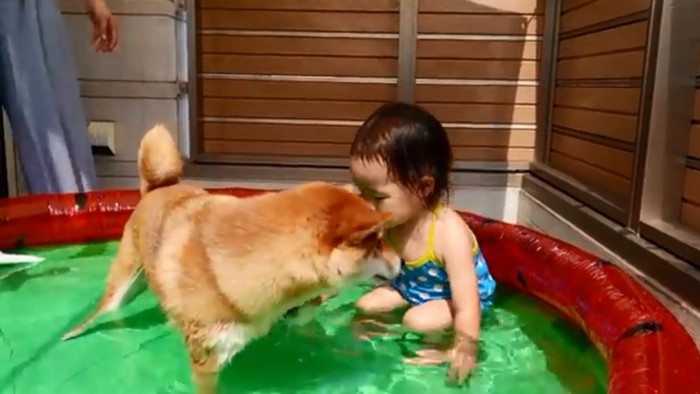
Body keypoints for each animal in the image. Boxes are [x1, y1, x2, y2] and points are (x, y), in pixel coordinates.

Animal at [61, 124, 400, 392]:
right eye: (378, 243)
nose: (400, 261)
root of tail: (156, 190)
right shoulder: (206, 362)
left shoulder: (294, 313)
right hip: (121, 289)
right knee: (104, 311)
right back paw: (71, 332)